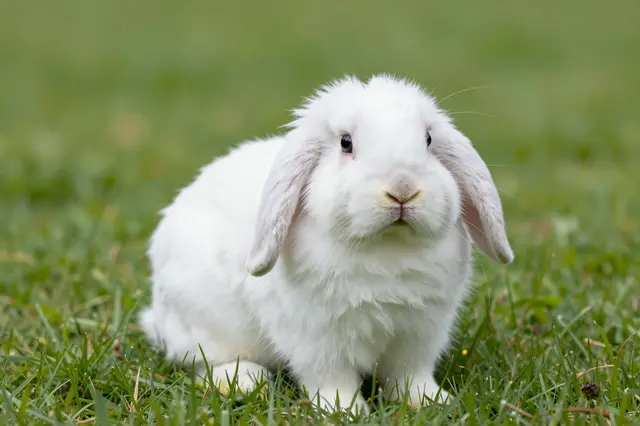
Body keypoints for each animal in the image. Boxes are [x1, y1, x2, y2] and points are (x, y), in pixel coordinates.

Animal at [138, 74, 514, 414]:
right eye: (346, 143)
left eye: (429, 139)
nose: (403, 188)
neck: (386, 249)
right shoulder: (318, 337)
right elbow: (331, 377)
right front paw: (344, 411)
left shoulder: (419, 333)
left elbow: (409, 376)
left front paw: (430, 402)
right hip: (205, 324)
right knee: (205, 363)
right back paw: (244, 381)